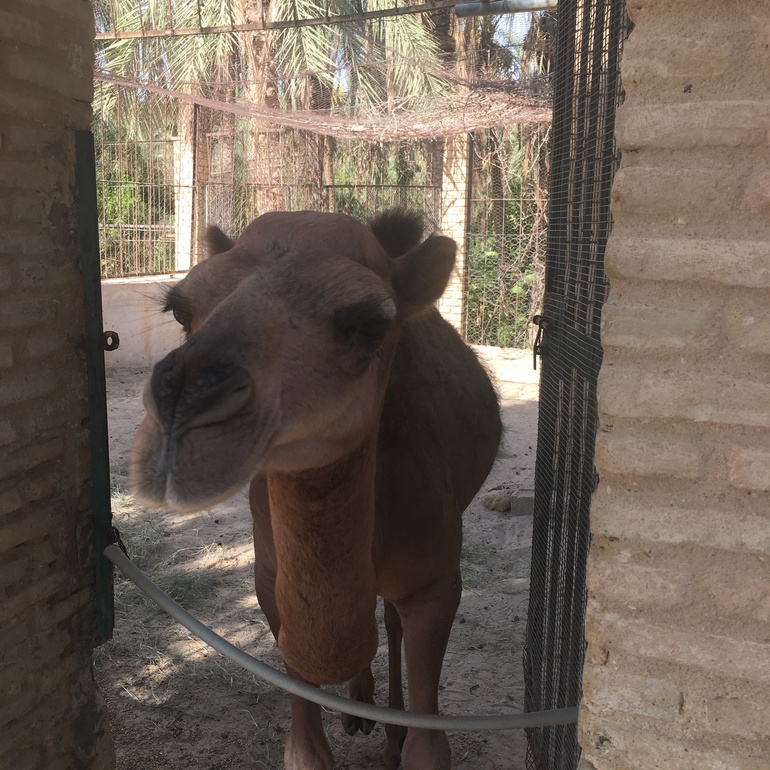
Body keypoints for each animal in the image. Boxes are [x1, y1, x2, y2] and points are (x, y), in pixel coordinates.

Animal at [130, 209, 502, 770]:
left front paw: (400, 737)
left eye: (371, 323)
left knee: (388, 619)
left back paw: (386, 727)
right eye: (180, 308)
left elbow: (428, 747)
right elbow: (305, 749)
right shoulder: (271, 587)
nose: (181, 406)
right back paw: (357, 707)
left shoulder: (436, 585)